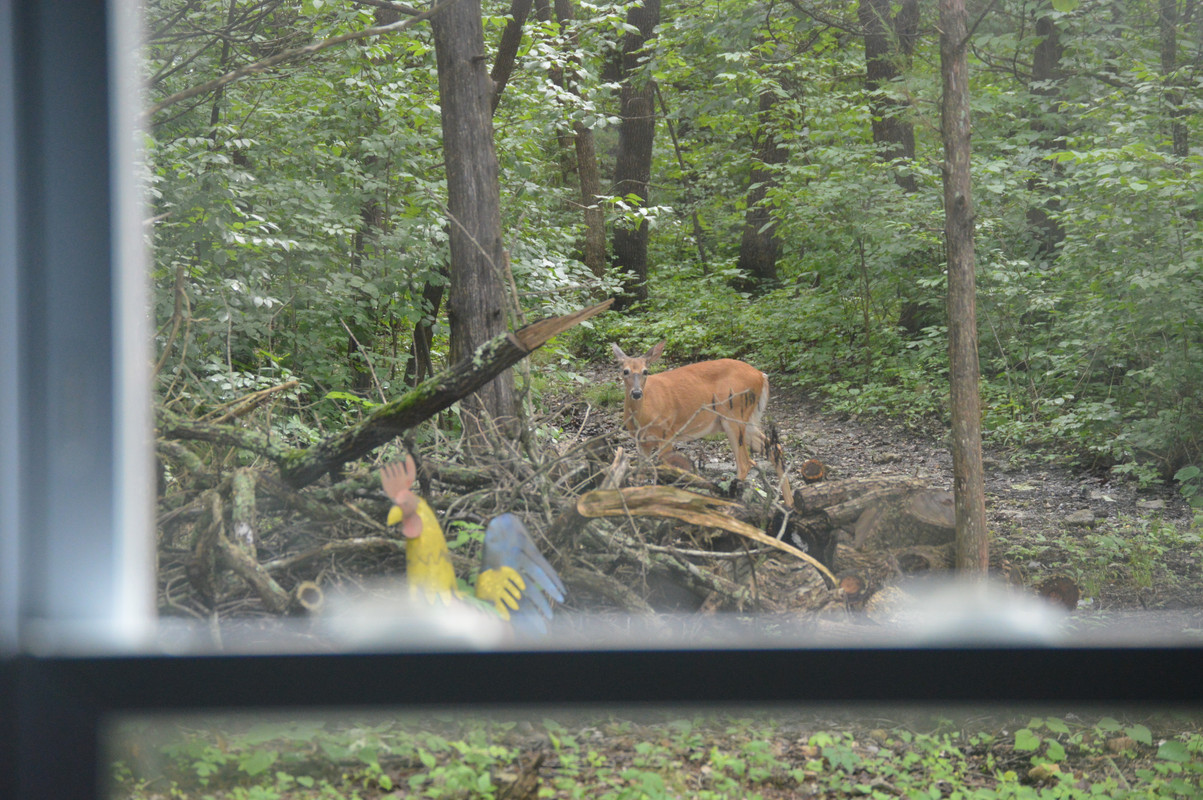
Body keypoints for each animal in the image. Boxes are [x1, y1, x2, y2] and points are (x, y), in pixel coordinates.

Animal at [611, 341, 794, 508]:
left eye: (645, 371)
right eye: (625, 371)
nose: (636, 393)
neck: (645, 416)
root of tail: (762, 375)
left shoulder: (668, 433)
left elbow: (666, 470)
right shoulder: (640, 441)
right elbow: (641, 474)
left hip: (733, 414)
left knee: (745, 463)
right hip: (746, 421)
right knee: (774, 448)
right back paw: (789, 504)